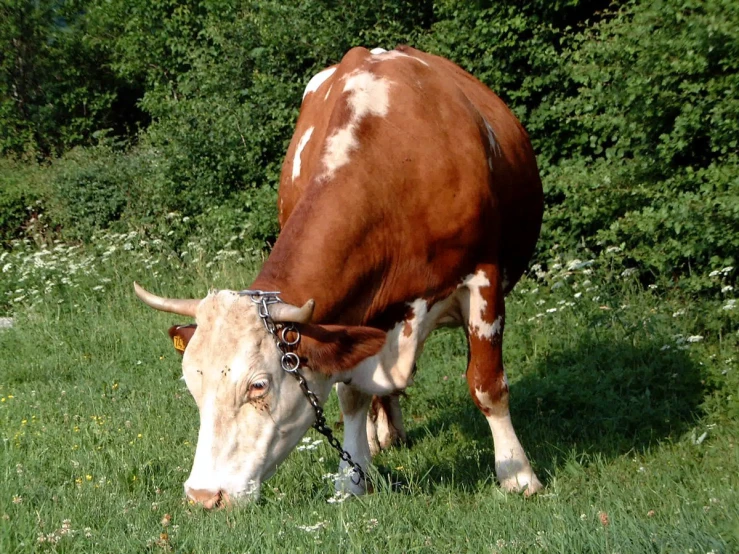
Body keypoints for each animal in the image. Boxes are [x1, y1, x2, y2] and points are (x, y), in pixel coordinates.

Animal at [136, 45, 548, 506]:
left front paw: (517, 474)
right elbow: (351, 394)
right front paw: (353, 476)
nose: (203, 496)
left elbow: (487, 385)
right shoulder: (351, 316)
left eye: (258, 386)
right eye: (193, 385)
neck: (395, 165)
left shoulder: (483, 278)